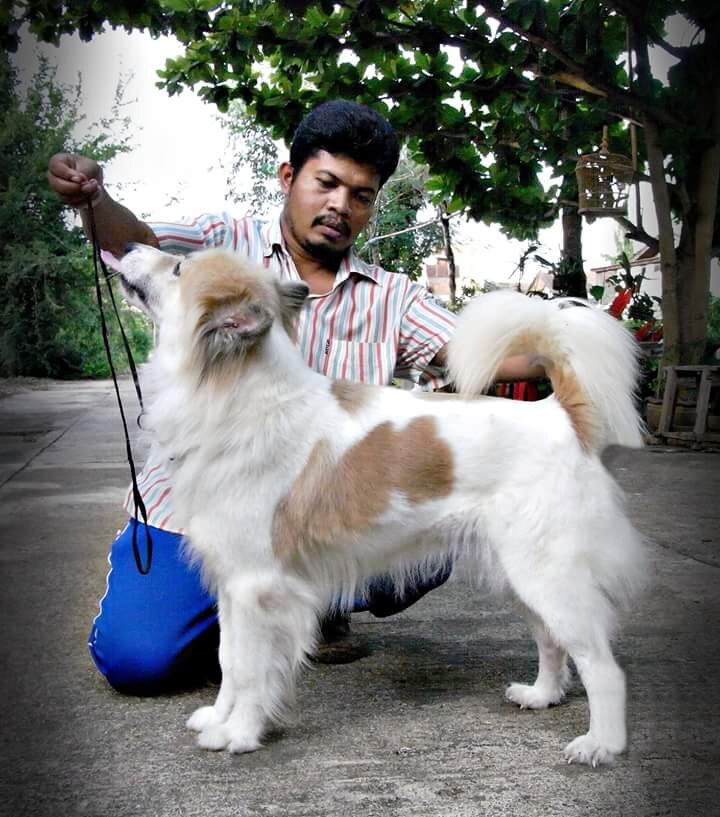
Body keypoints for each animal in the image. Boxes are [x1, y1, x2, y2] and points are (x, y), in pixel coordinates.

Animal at [116, 243, 646, 766]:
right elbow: (229, 659)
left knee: (602, 665)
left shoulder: (257, 588)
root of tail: (557, 414)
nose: (130, 246)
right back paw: (542, 695)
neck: (238, 396)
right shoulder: (232, 587)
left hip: (547, 574)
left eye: (178, 266)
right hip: (520, 576)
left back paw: (602, 743)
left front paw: (241, 733)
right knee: (551, 639)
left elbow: (250, 668)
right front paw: (220, 718)